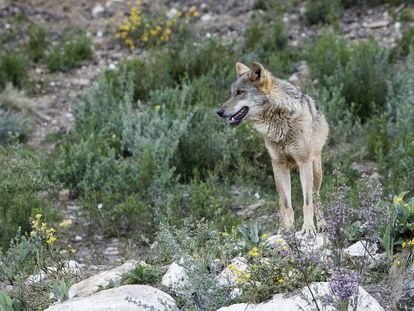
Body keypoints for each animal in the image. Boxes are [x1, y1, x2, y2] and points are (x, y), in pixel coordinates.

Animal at [217, 62, 330, 235]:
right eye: (231, 93)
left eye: (240, 92)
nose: (219, 112)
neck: (279, 120)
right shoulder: (279, 164)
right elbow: (286, 204)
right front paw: (287, 230)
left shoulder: (304, 162)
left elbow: (307, 202)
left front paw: (308, 228)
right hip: (278, 174)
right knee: (281, 201)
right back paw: (281, 228)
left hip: (316, 171)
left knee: (316, 196)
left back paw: (322, 226)